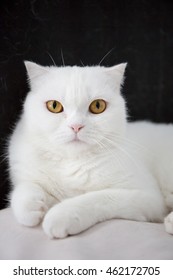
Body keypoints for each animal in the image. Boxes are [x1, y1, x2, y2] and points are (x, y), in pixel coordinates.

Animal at [7, 60, 173, 237]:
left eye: (98, 105)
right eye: (54, 106)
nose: (76, 126)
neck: (72, 164)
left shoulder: (147, 197)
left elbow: (96, 198)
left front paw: (61, 215)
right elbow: (25, 188)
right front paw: (31, 206)